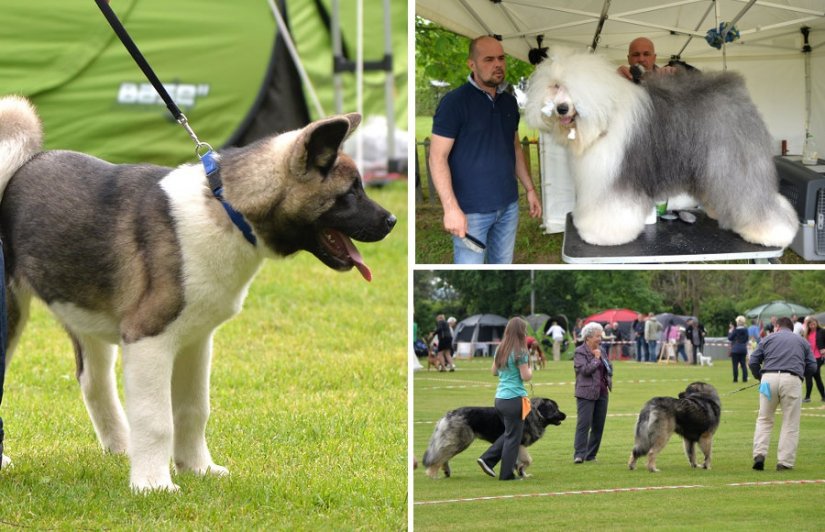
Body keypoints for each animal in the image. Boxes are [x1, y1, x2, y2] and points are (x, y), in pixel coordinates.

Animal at [422, 396, 564, 480]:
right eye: (555, 409)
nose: (565, 415)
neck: (535, 414)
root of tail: (449, 414)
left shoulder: (518, 445)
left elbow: (521, 462)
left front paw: (522, 473)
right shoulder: (519, 443)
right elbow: (528, 460)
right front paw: (520, 471)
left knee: (443, 456)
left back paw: (445, 471)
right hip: (461, 441)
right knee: (440, 456)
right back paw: (432, 473)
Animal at [528, 50, 800, 247]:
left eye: (572, 90)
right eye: (555, 86)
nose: (562, 109)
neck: (605, 118)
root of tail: (735, 90)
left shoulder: (616, 178)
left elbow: (610, 209)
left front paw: (600, 234)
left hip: (734, 162)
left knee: (754, 197)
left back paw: (771, 232)